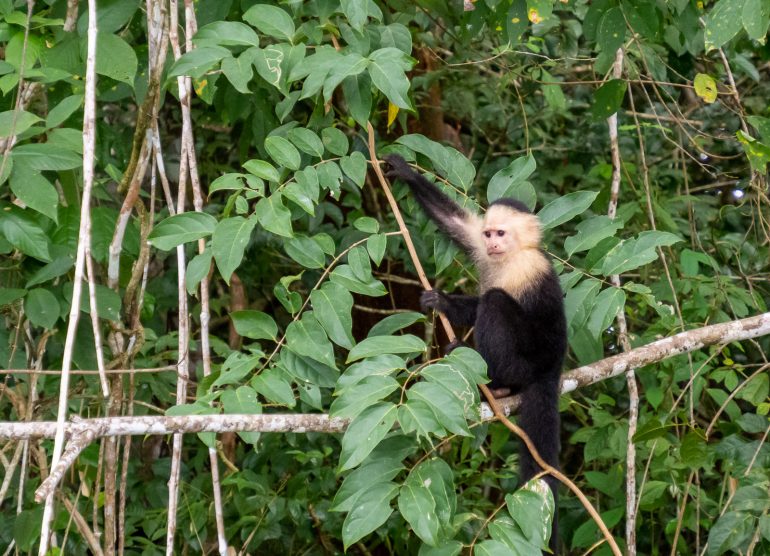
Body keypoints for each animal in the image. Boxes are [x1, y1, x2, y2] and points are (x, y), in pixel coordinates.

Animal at [385, 154, 566, 553]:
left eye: (502, 234)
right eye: (489, 234)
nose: (494, 244)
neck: (510, 257)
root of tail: (552, 371)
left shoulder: (530, 268)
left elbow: (525, 317)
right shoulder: (481, 250)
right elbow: (457, 224)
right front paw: (404, 171)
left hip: (533, 361)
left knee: (498, 306)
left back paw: (495, 379)